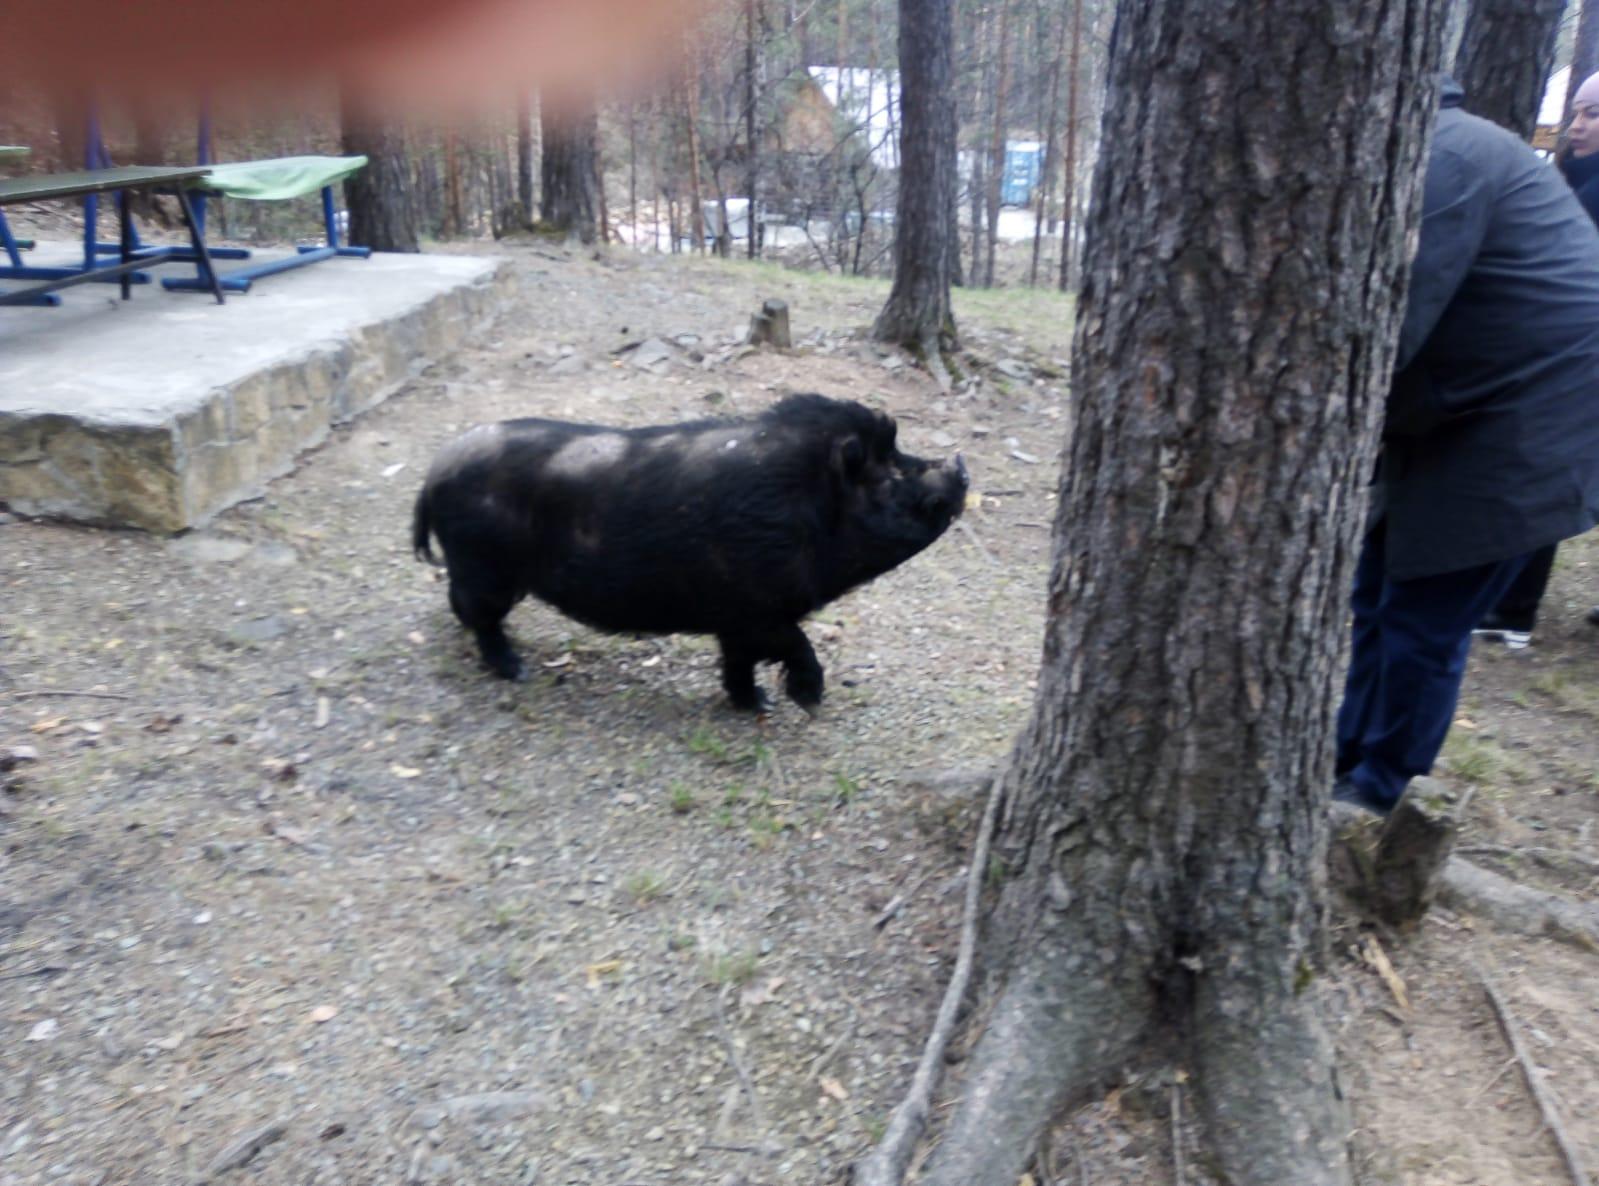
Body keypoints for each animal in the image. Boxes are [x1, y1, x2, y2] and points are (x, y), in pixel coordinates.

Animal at [412, 394, 959, 709]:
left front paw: (757, 705)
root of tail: (434, 470)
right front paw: (807, 699)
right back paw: (515, 670)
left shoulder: (737, 619)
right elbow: (794, 643)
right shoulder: (758, 608)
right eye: (889, 475)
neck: (802, 505)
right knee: (478, 615)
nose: (959, 465)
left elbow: (738, 662)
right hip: (483, 567)